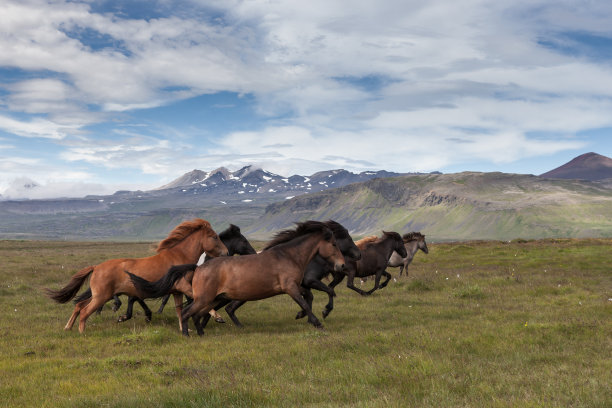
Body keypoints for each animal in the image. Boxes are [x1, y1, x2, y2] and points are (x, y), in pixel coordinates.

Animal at [44, 218, 227, 334]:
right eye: (214, 237)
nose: (226, 253)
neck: (179, 257)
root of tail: (96, 267)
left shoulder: (176, 291)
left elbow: (179, 310)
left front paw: (185, 329)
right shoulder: (183, 286)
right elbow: (198, 299)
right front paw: (218, 317)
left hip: (99, 295)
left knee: (79, 305)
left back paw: (68, 327)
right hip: (101, 296)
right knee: (84, 311)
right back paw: (82, 332)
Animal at [129, 222, 346, 336]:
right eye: (334, 244)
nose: (342, 265)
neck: (288, 255)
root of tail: (198, 267)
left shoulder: (297, 286)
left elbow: (313, 296)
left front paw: (311, 315)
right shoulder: (290, 287)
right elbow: (306, 302)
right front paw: (318, 321)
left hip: (215, 298)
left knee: (199, 314)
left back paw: (202, 333)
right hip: (205, 298)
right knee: (187, 313)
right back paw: (188, 334)